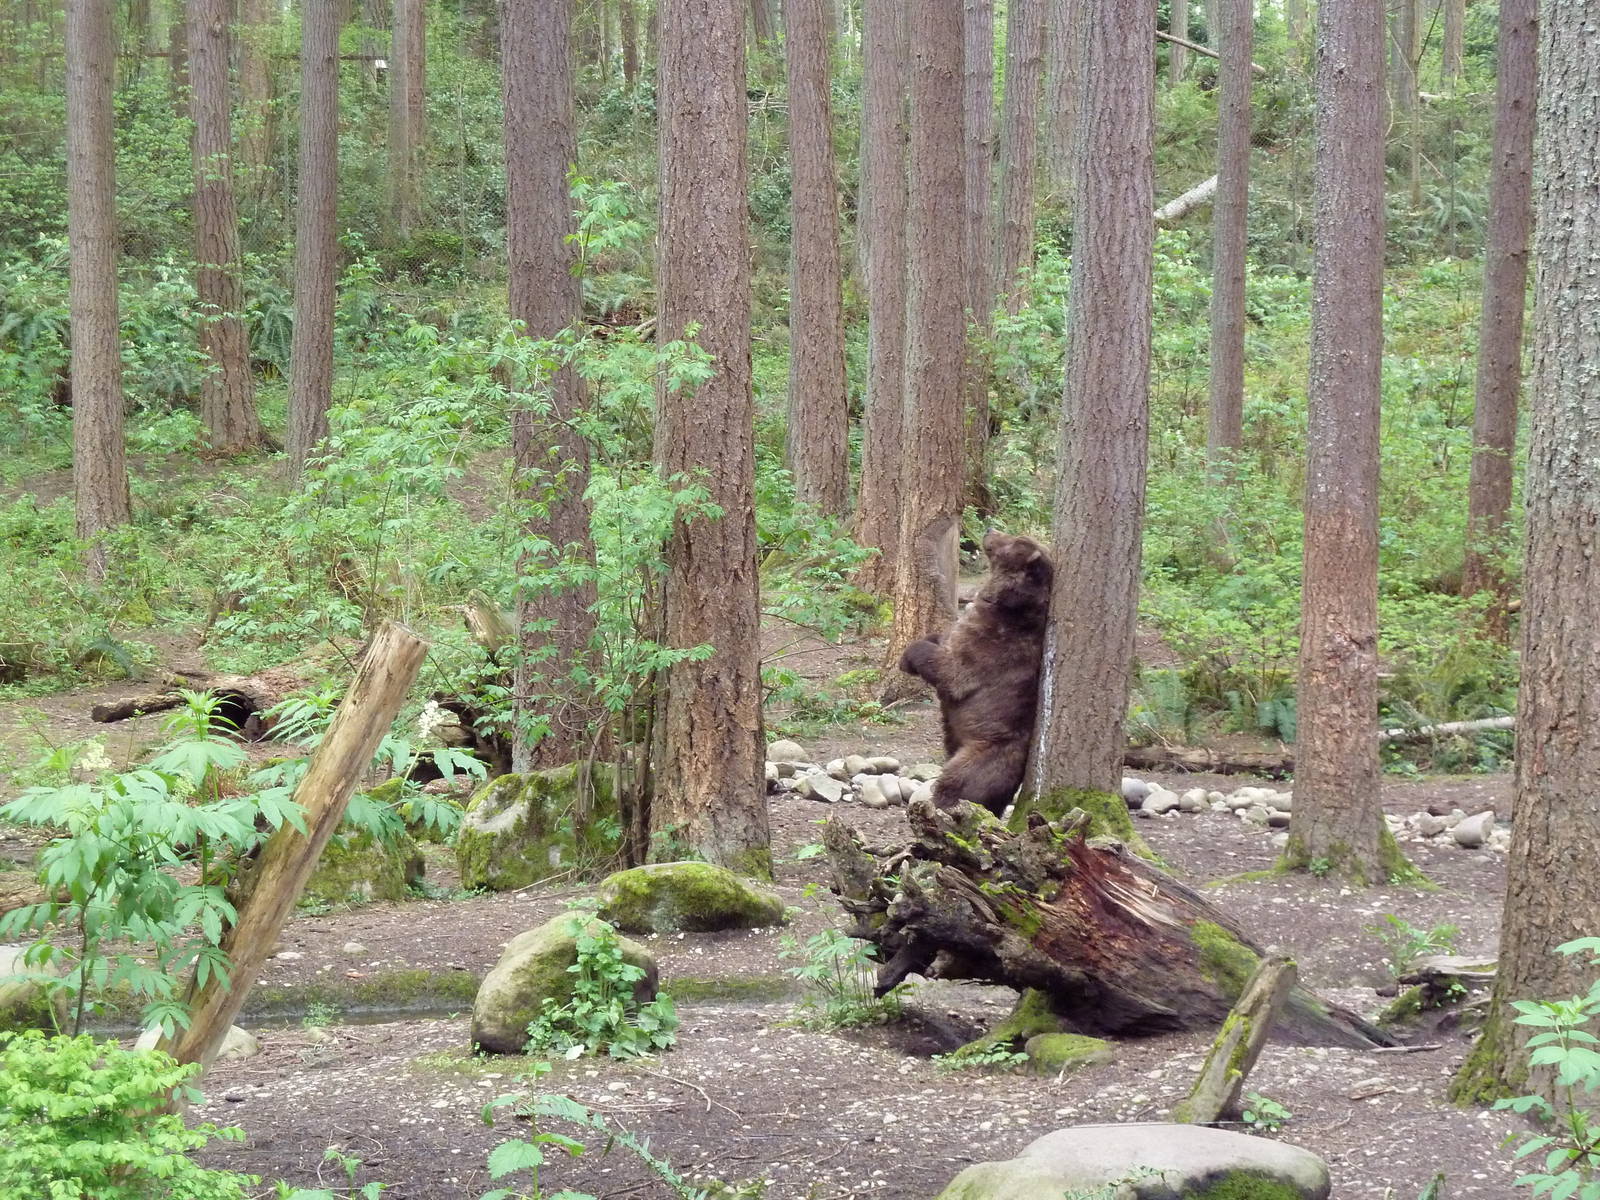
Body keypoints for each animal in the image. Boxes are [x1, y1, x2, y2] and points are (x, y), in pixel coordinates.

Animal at [897, 530, 1054, 817]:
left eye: (1014, 540)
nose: (990, 530)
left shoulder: (987, 648)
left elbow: (949, 671)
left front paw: (909, 655)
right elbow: (940, 637)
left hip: (988, 752)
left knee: (960, 778)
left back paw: (940, 804)